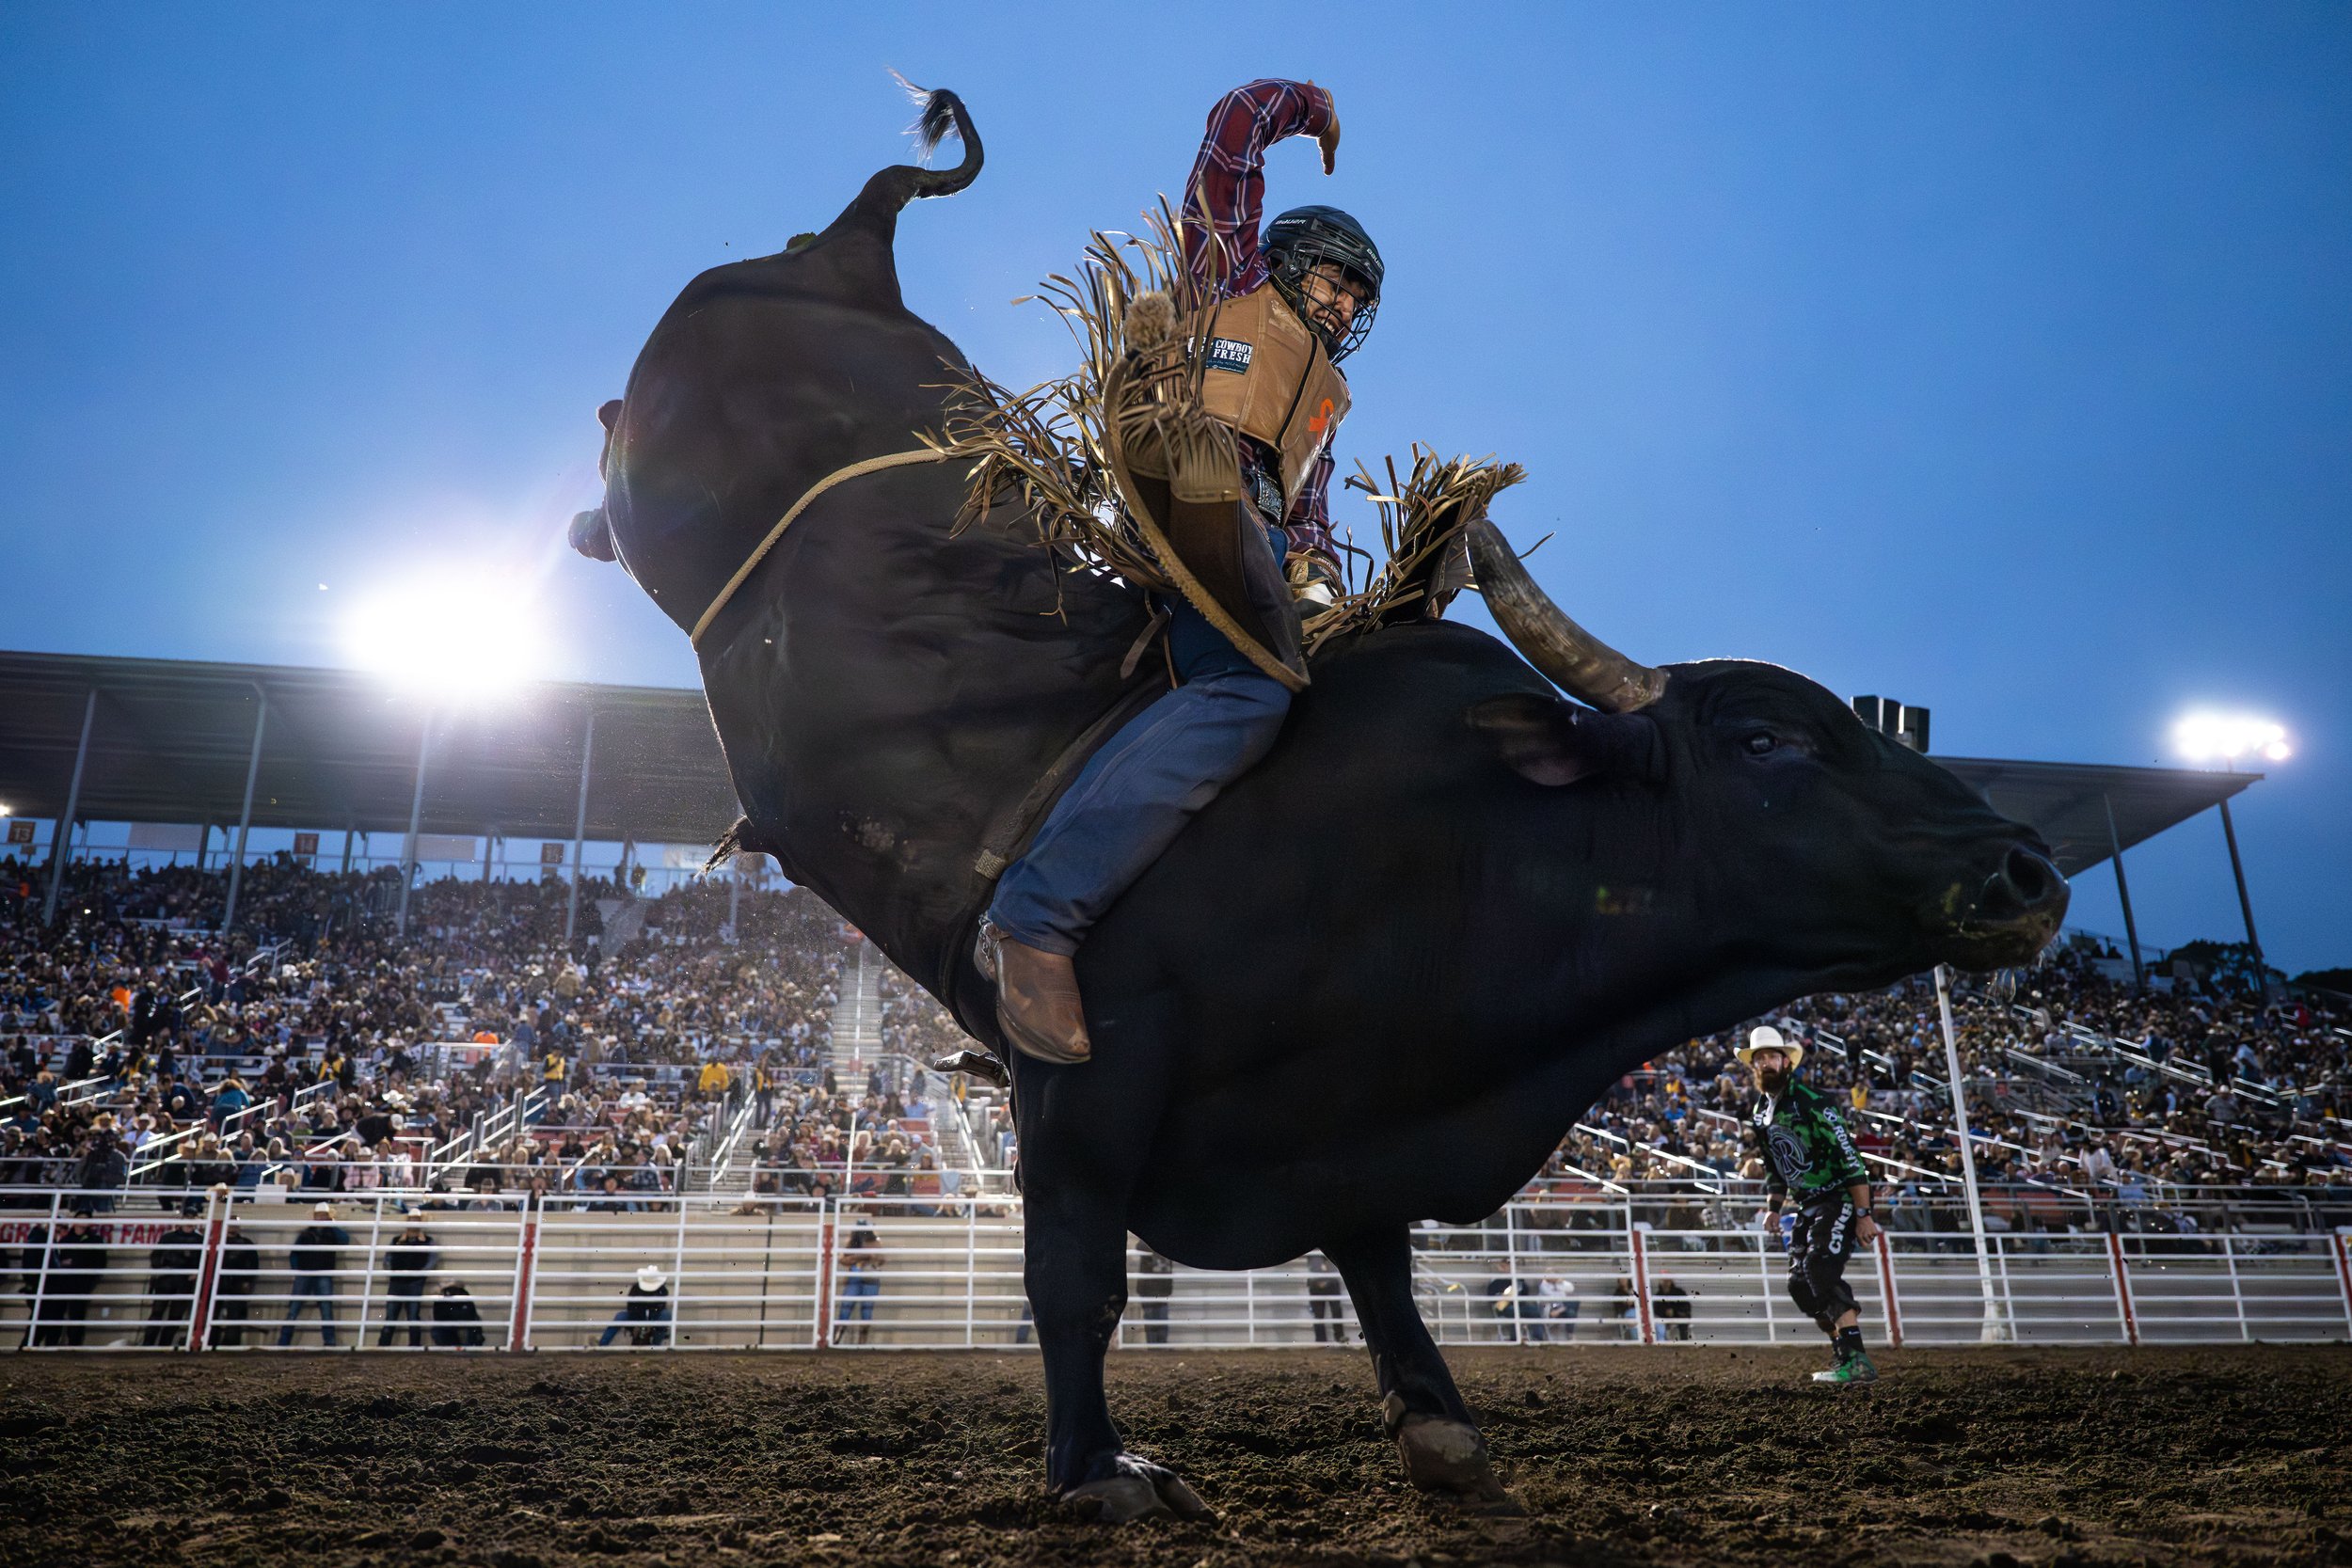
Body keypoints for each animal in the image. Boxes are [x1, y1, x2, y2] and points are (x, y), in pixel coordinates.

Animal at [575, 87, 2068, 1520]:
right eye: (1765, 739)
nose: (2027, 870)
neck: (1453, 846)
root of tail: (849, 254)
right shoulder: (1086, 1087)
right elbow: (1078, 1279)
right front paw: (1097, 1467)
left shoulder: (1355, 1109)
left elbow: (1378, 1264)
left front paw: (1442, 1424)